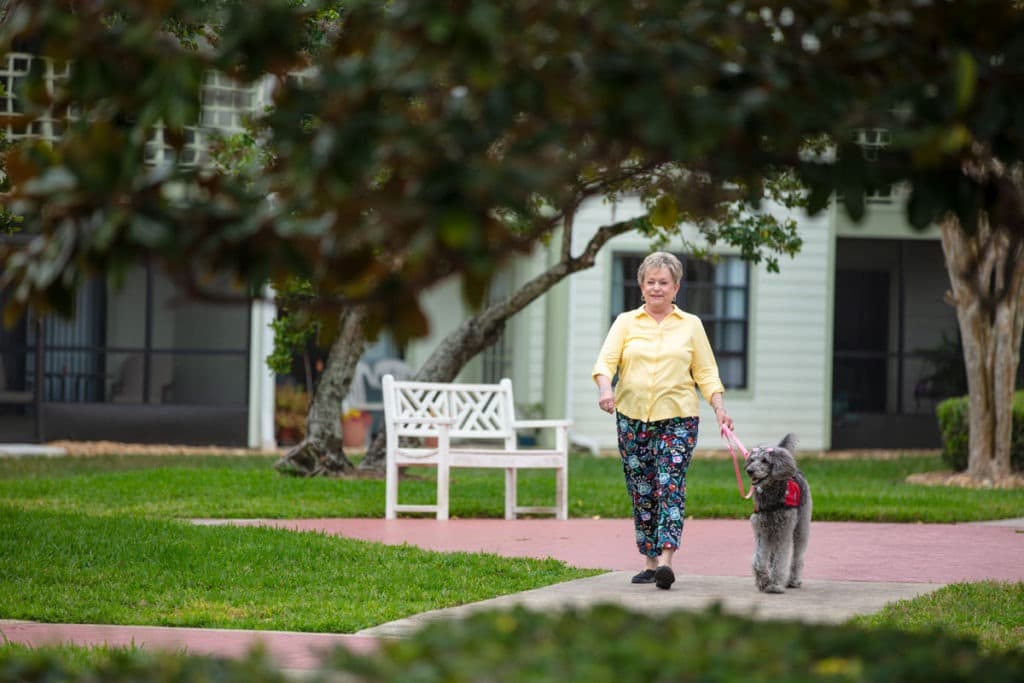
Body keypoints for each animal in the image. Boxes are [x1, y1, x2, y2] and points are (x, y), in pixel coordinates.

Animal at [741, 436, 811, 593]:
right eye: (752, 459)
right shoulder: (762, 530)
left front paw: (775, 584)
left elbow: (780, 560)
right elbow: (759, 559)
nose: (749, 470)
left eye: (765, 460)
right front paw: (763, 580)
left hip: (800, 528)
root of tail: (795, 471)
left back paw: (793, 580)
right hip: (772, 532)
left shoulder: (784, 531)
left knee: (797, 556)